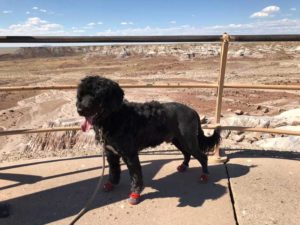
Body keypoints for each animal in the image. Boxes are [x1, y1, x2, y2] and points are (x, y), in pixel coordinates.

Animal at [76, 75, 220, 204]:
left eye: (96, 94)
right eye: (81, 95)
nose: (79, 109)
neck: (114, 118)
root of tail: (193, 111)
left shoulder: (130, 155)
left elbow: (135, 176)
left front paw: (135, 194)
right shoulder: (110, 153)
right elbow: (113, 170)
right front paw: (111, 183)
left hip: (189, 141)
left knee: (202, 156)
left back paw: (205, 175)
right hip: (178, 140)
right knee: (187, 154)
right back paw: (184, 166)